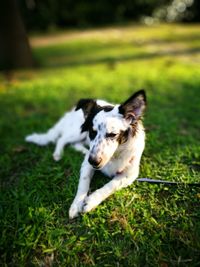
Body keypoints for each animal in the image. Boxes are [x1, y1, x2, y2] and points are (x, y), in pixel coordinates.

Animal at [25, 89, 146, 219]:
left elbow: (111, 185)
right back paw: (58, 154)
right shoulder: (87, 164)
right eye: (92, 132)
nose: (93, 161)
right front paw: (76, 205)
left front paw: (91, 201)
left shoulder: (130, 174)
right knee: (62, 139)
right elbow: (83, 182)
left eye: (112, 135)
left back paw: (82, 151)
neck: (114, 156)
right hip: (78, 132)